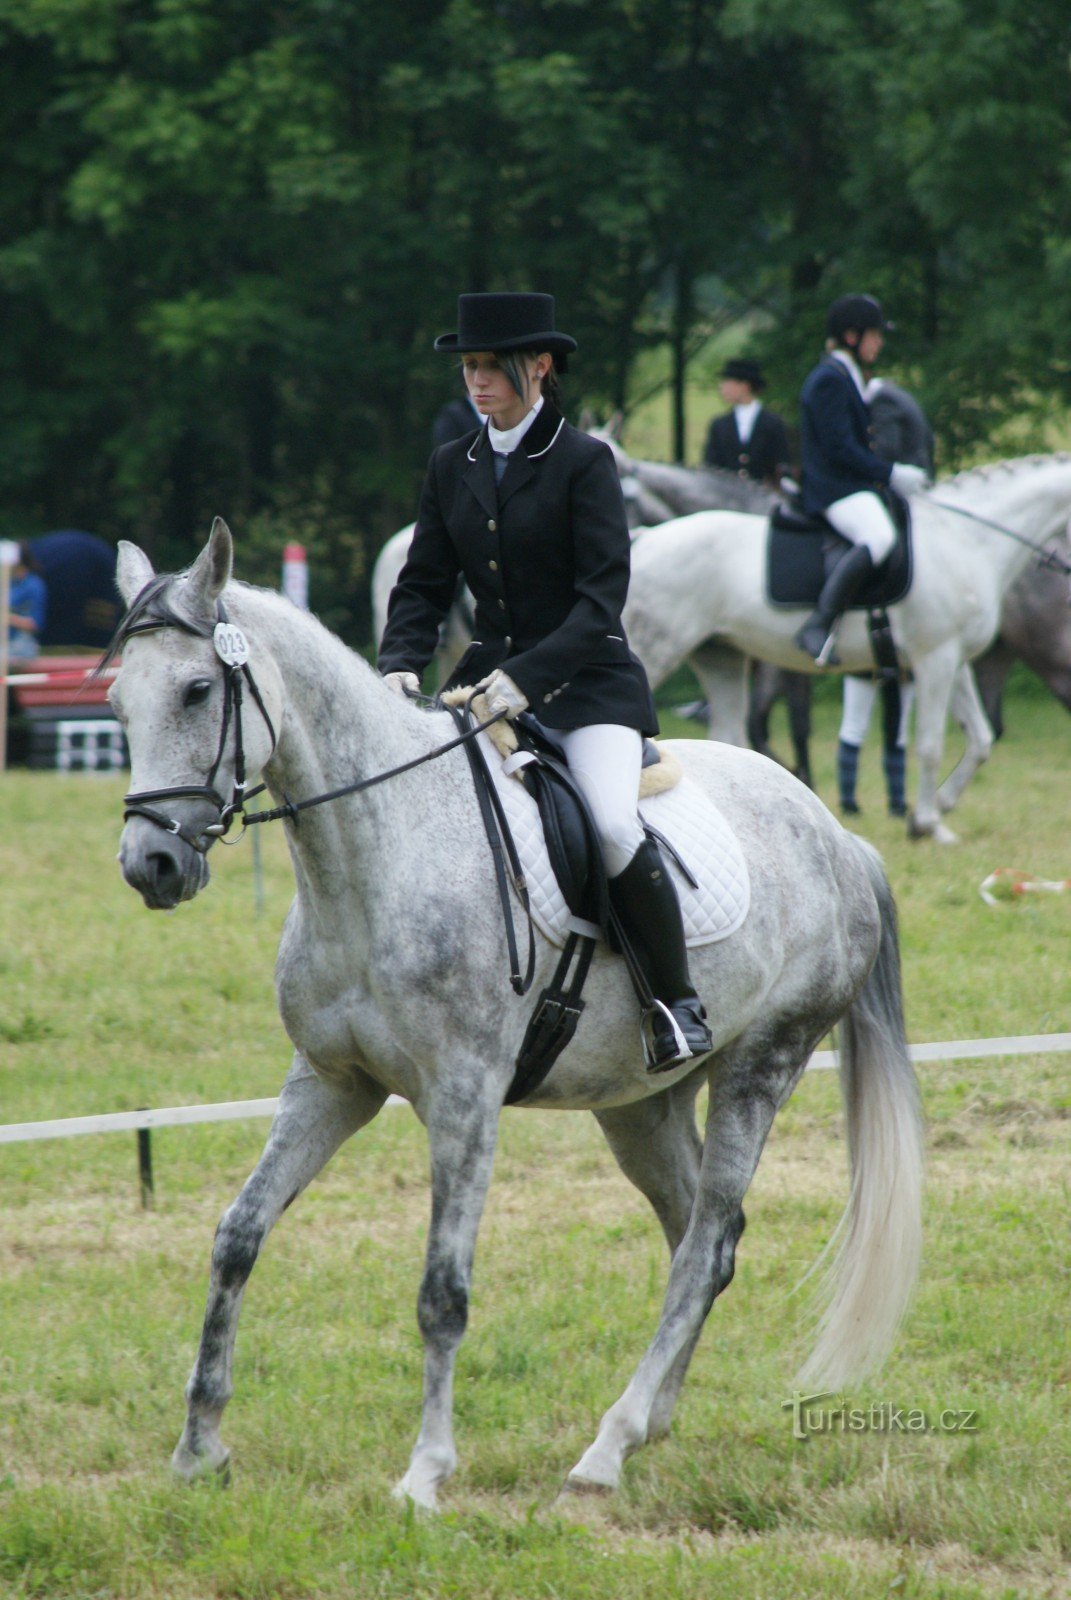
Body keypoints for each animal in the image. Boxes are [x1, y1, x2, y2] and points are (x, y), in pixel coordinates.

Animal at [112, 521, 922, 1510]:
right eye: (116, 701)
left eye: (196, 690)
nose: (150, 865)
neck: (376, 852)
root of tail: (837, 836)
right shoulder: (331, 1085)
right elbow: (237, 1237)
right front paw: (199, 1448)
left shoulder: (463, 1100)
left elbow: (442, 1289)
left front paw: (424, 1474)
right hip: (640, 1106)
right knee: (704, 1235)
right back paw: (648, 1423)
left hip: (758, 1067)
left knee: (702, 1247)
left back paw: (605, 1449)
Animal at [621, 457, 1069, 844]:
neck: (966, 540)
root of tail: (644, 540)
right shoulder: (935, 658)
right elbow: (929, 746)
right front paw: (926, 824)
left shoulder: (953, 660)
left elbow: (980, 739)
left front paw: (939, 808)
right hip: (655, 650)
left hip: (720, 657)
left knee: (728, 739)